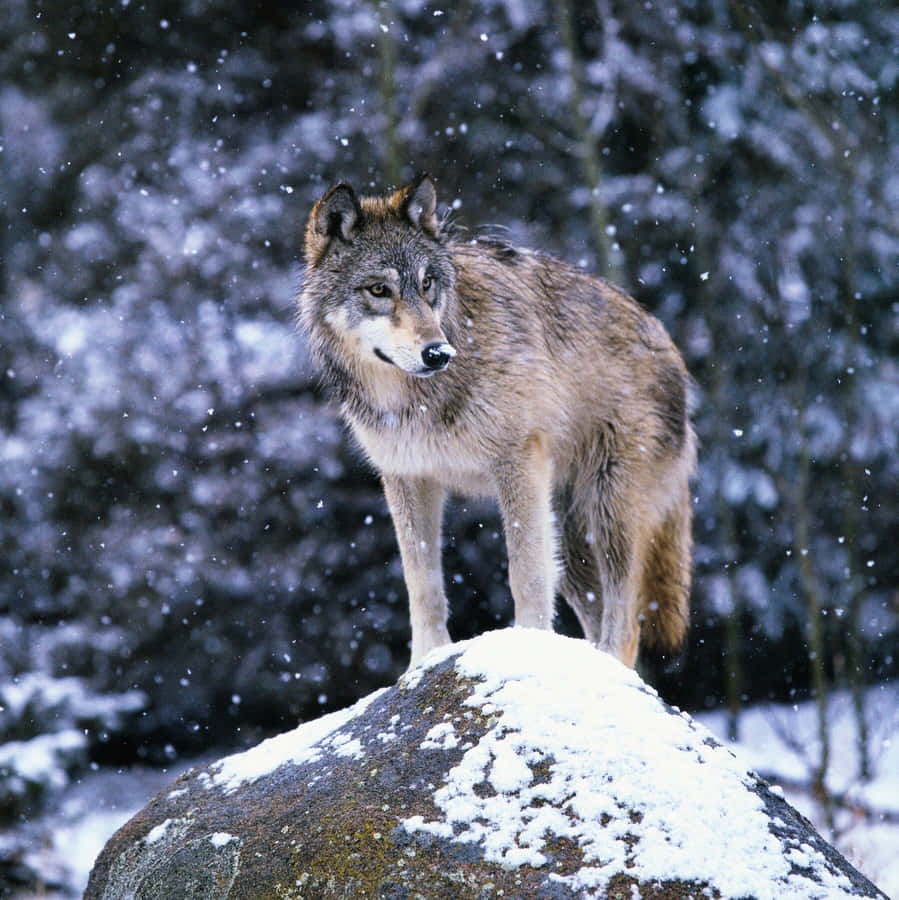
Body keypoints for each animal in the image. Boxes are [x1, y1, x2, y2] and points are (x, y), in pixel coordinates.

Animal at [299, 174, 696, 668]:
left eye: (427, 283)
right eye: (378, 290)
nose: (437, 352)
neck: (417, 401)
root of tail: (671, 349)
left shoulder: (517, 464)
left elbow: (525, 573)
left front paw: (529, 647)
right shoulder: (408, 478)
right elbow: (422, 583)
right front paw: (424, 661)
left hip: (609, 513)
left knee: (627, 623)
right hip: (570, 538)